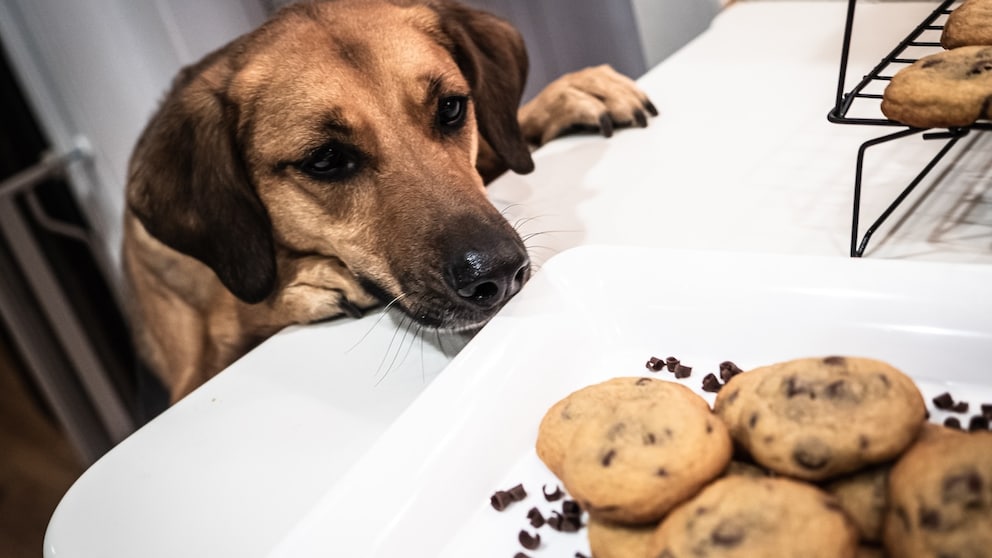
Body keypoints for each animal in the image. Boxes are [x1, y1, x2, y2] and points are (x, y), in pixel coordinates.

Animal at [122, 0, 652, 404]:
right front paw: (299, 284)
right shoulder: (191, 370)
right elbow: (232, 312)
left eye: (451, 108)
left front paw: (564, 95)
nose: (500, 274)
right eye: (326, 158)